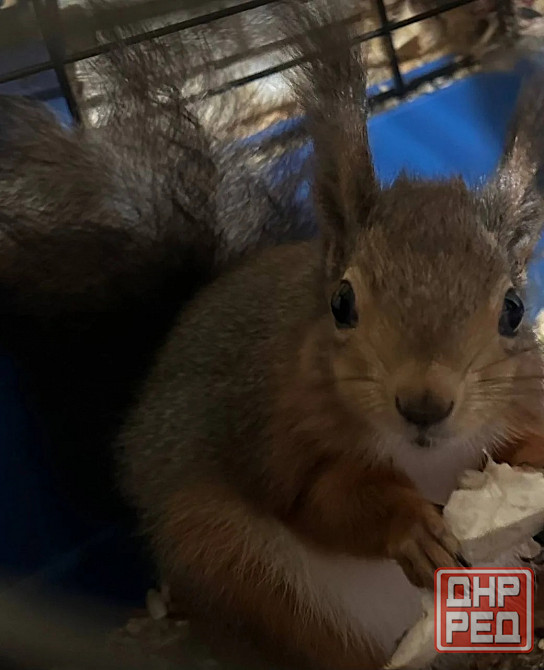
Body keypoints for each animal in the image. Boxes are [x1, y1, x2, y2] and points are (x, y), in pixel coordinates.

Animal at [112, 3, 544, 670]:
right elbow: (323, 501)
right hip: (244, 570)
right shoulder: (278, 433)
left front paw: (532, 463)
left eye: (515, 310)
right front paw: (409, 527)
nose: (424, 405)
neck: (430, 459)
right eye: (341, 303)